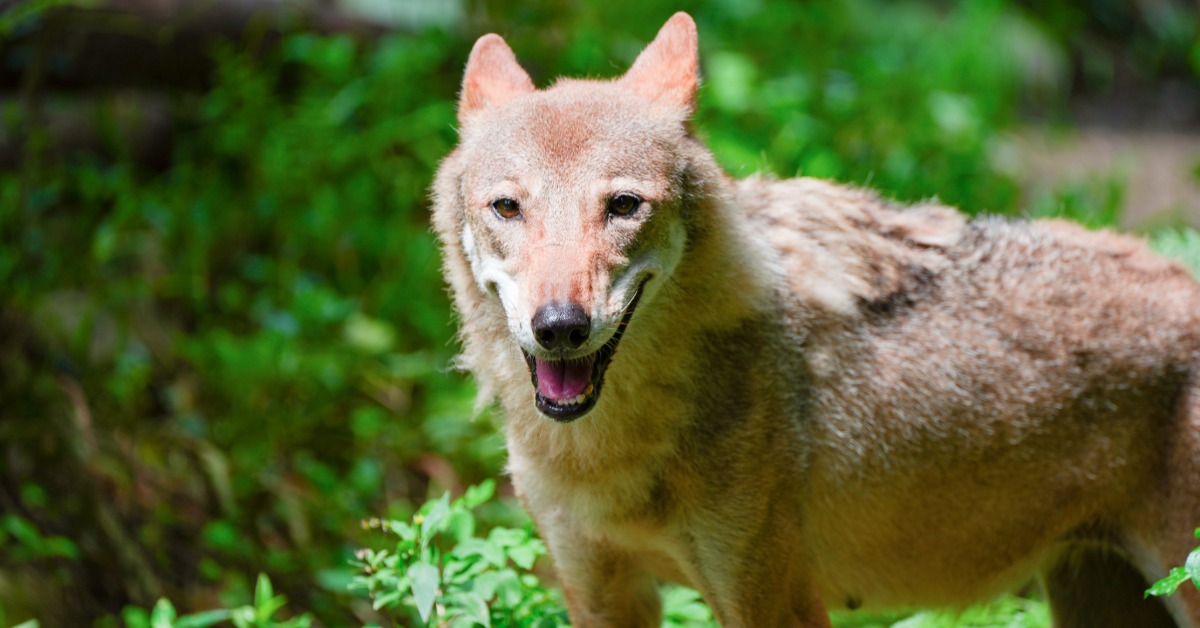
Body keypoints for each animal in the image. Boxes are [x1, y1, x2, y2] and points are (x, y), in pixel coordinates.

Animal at [431, 12, 1200, 627]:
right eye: (507, 207)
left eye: (623, 206)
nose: (560, 325)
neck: (611, 454)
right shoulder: (598, 593)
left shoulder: (773, 600)